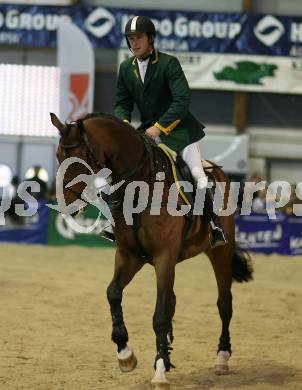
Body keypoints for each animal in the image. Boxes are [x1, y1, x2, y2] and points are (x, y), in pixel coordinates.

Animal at [50, 111, 252, 388]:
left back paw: (221, 358)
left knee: (224, 303)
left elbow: (159, 316)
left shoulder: (163, 257)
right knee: (173, 301)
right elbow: (113, 293)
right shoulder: (130, 256)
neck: (139, 186)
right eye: (59, 156)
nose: (67, 205)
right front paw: (125, 354)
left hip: (220, 252)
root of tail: (219, 172)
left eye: (82, 160)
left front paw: (159, 372)